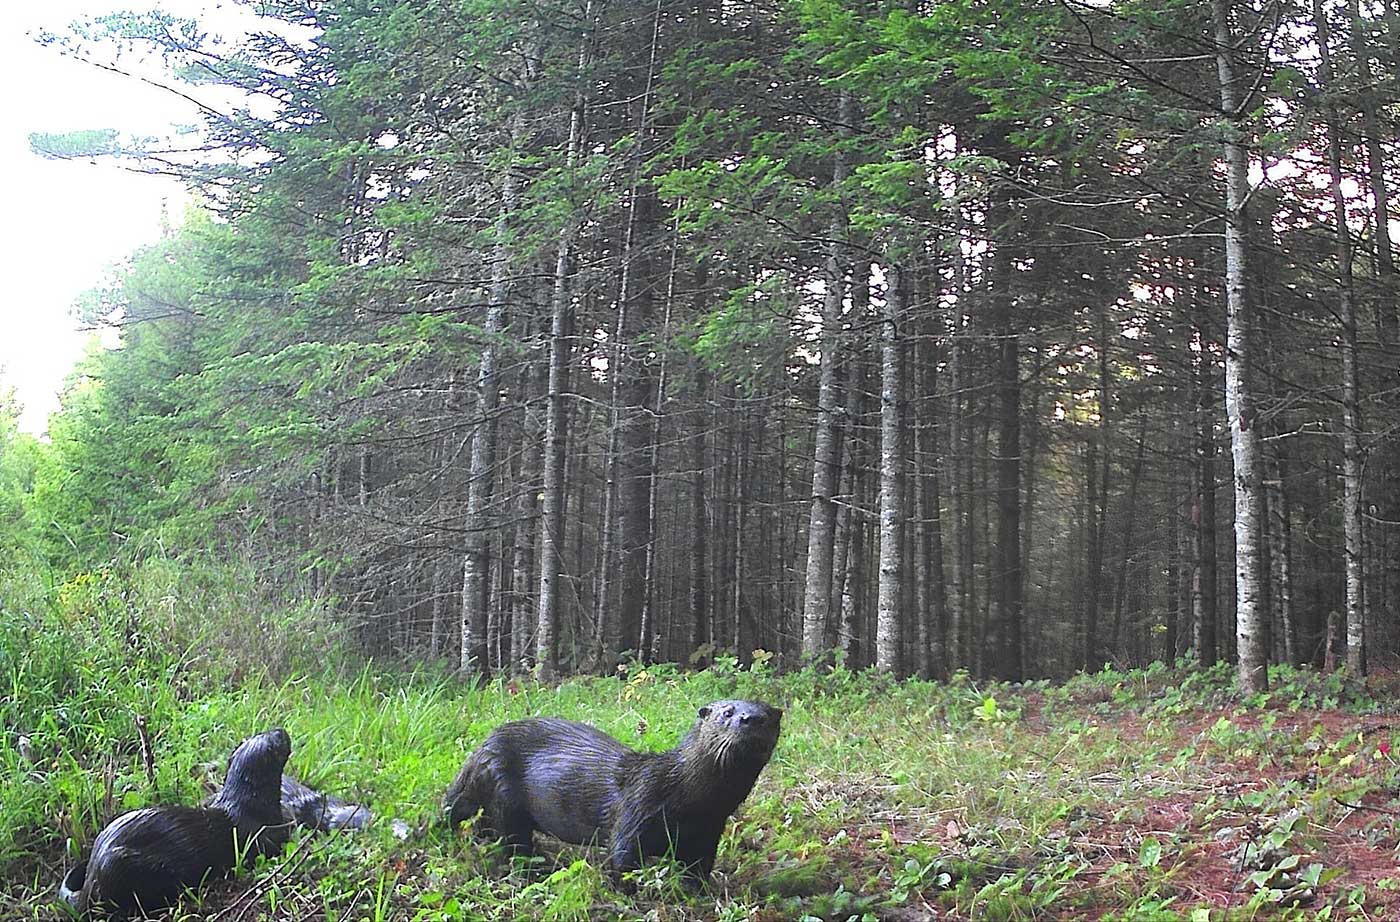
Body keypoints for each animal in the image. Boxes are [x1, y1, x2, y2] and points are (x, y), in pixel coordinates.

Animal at [61, 727, 291, 917]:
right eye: (278, 737)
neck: (249, 806)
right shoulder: (262, 836)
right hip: (121, 866)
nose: (281, 729)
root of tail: (92, 877)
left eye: (264, 731)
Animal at [442, 699, 784, 889]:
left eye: (767, 715)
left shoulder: (708, 833)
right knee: (511, 841)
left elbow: (697, 869)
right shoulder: (636, 810)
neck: (688, 796)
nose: (751, 718)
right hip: (503, 791)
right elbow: (622, 860)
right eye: (727, 712)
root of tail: (480, 751)